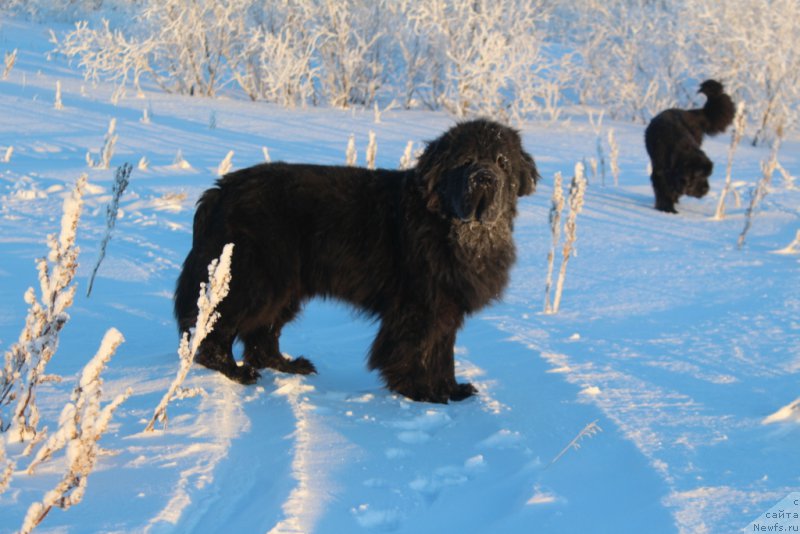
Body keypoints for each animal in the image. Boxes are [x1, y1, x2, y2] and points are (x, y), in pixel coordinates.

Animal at [174, 119, 536, 404]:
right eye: (466, 161)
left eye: (503, 162)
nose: (485, 177)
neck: (453, 227)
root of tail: (219, 191)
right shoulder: (418, 307)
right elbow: (415, 351)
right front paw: (420, 392)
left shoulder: (446, 307)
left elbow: (442, 353)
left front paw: (451, 390)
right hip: (256, 280)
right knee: (213, 326)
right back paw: (234, 370)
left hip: (286, 287)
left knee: (263, 335)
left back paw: (289, 365)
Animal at [648, 79, 736, 214]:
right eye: (700, 175)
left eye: (708, 175)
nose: (706, 189)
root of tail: (692, 112)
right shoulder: (660, 172)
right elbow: (664, 189)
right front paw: (667, 208)